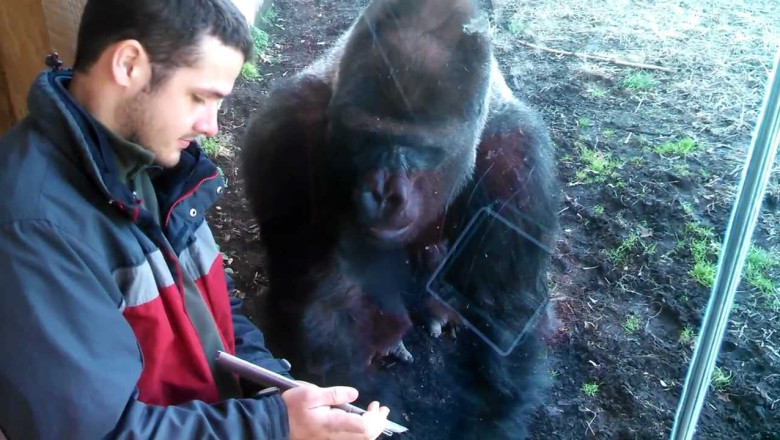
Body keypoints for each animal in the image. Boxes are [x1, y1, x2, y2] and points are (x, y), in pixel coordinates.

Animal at [241, 0, 558, 438]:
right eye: (366, 137)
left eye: (423, 149)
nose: (383, 192)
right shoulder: (285, 130)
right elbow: (319, 295)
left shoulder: (520, 162)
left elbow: (504, 319)